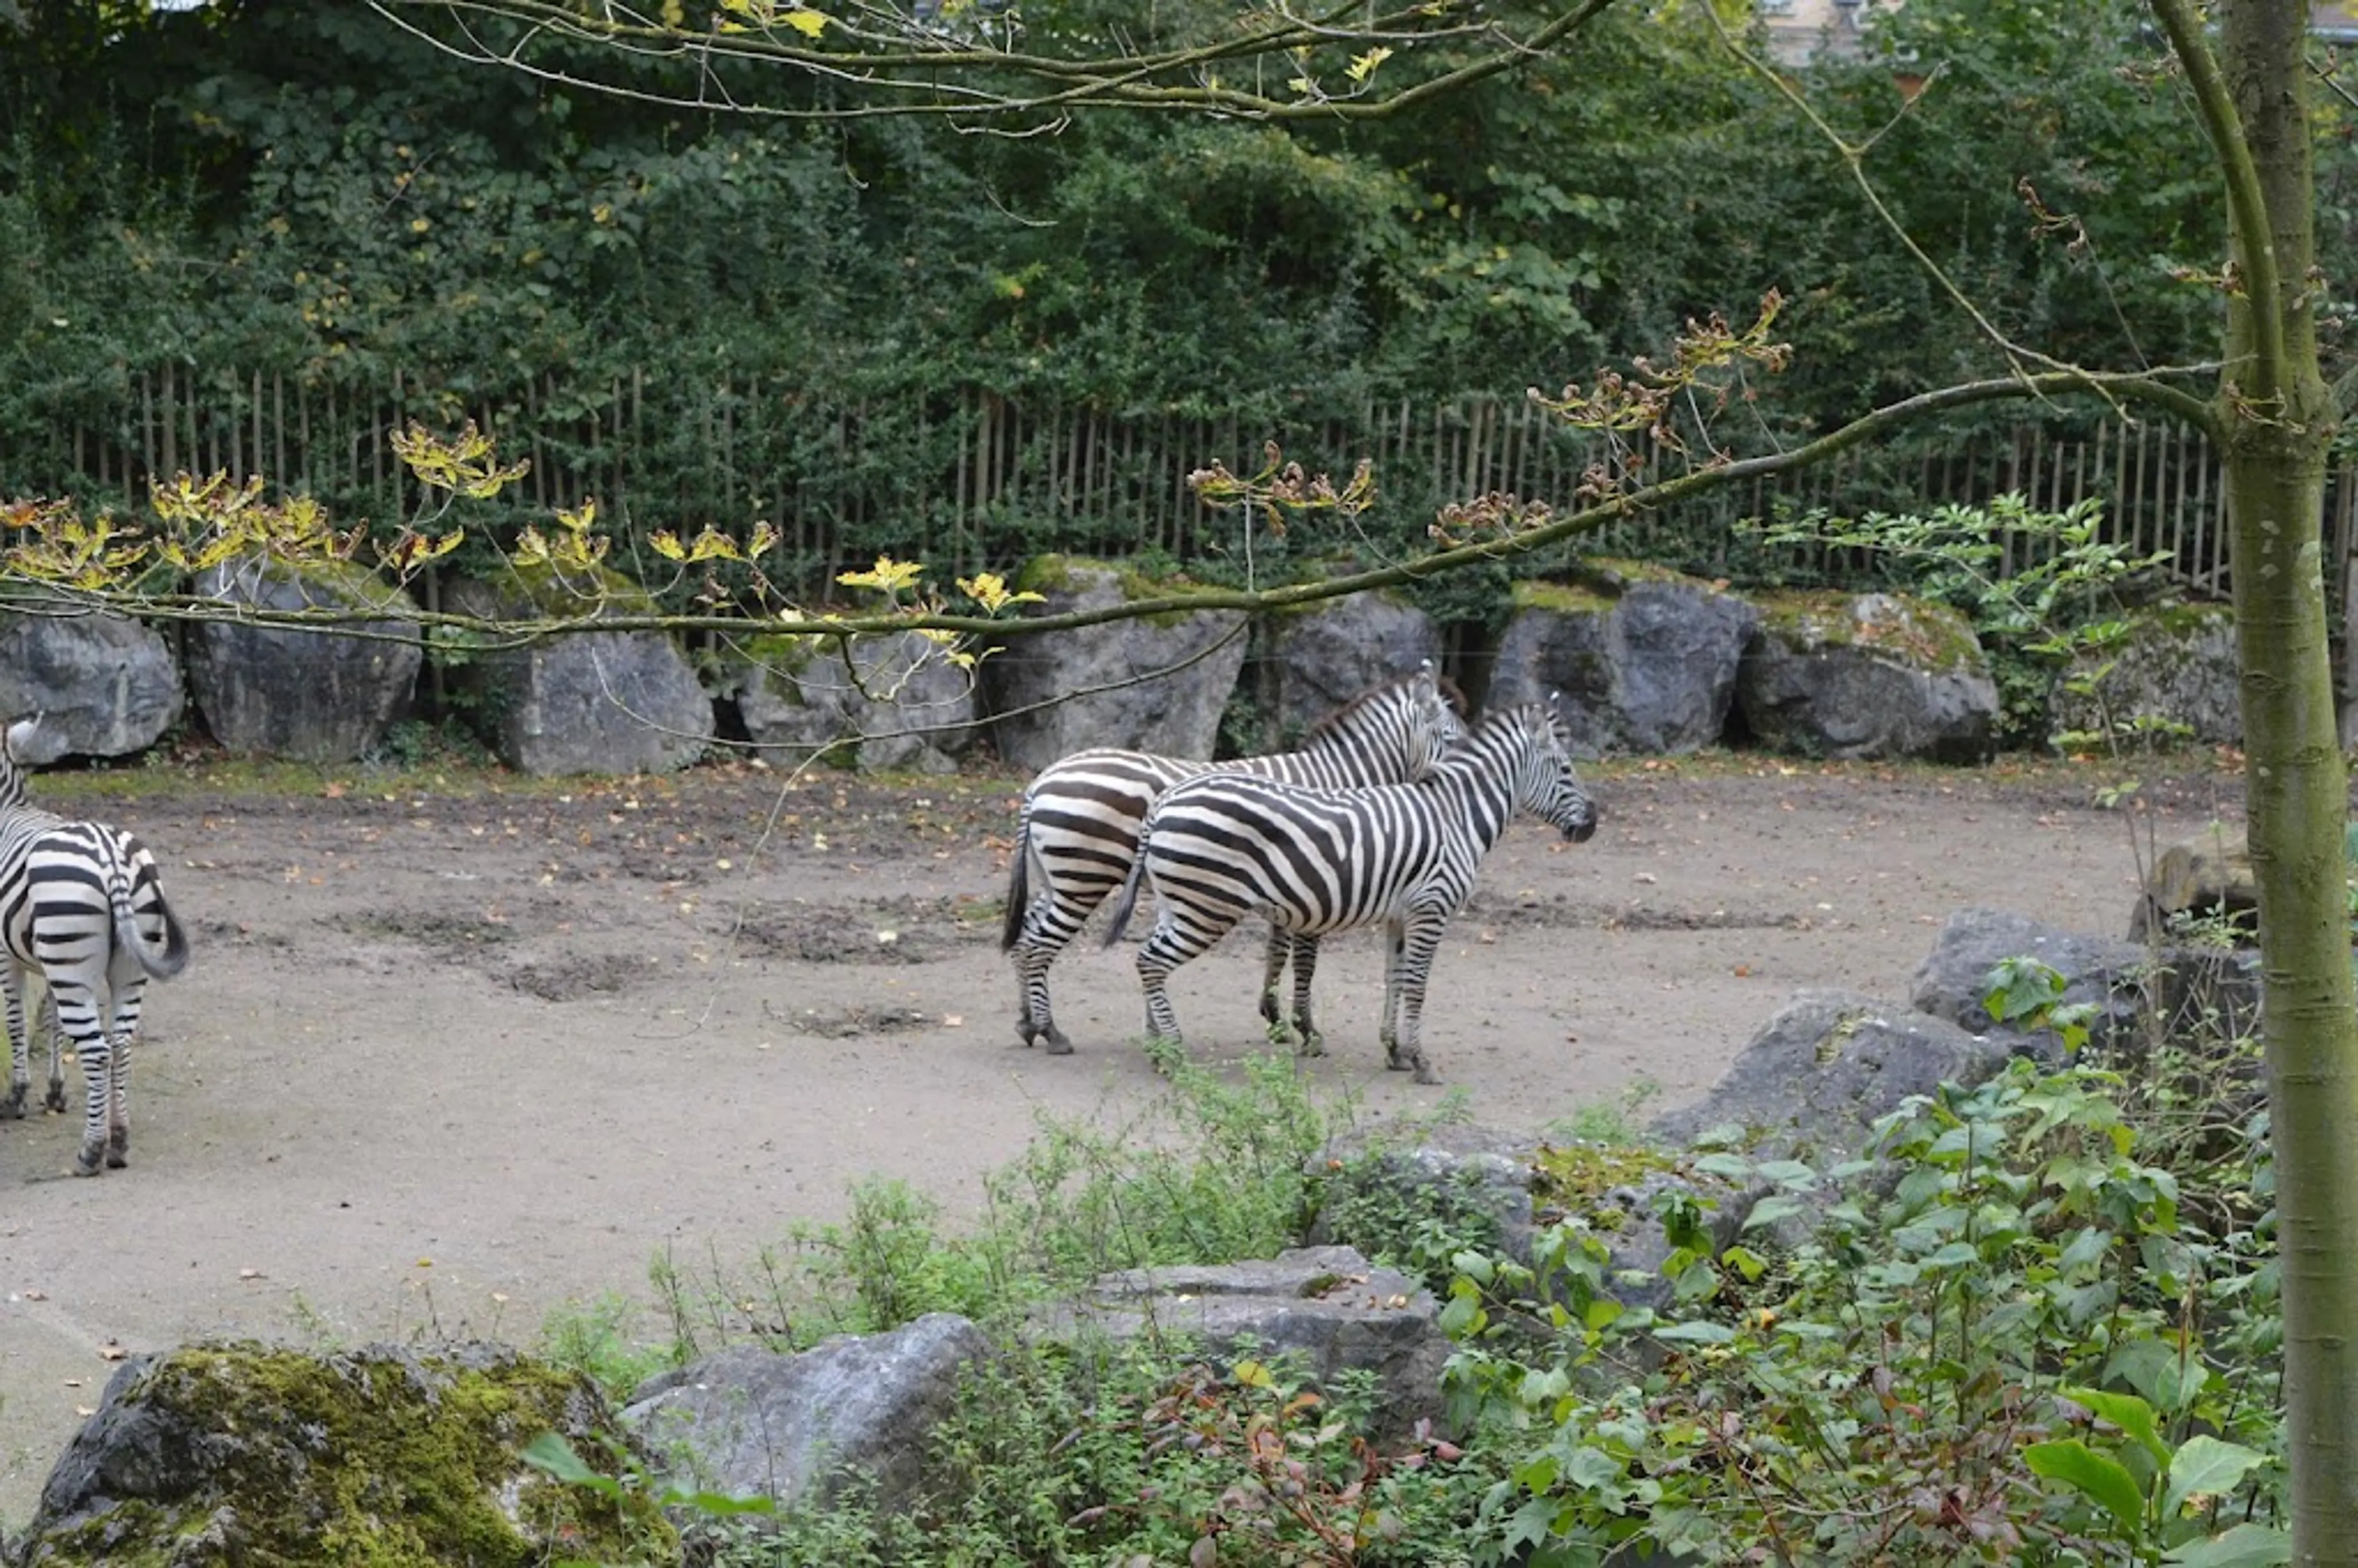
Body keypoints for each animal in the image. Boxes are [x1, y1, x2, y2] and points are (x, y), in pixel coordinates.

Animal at [1, 716, 191, 1169]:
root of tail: (110, 856)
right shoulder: (47, 963)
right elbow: (51, 1020)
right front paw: (54, 1091)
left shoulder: (6, 956)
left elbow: (16, 1022)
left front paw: (17, 1096)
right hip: (125, 965)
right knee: (119, 1044)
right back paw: (119, 1141)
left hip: (73, 963)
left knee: (98, 1050)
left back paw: (92, 1150)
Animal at [1000, 655, 1461, 1051]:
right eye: (1454, 737)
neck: (1342, 779)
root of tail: (1041, 781)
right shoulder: (1319, 880)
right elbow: (1305, 961)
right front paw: (1306, 1029)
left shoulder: (1289, 888)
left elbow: (1277, 952)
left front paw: (1275, 1018)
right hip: (1084, 878)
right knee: (1040, 945)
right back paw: (1051, 1031)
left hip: (1056, 877)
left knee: (1025, 939)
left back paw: (1028, 1022)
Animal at [1103, 697, 1603, 1084]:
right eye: (1566, 769)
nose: (1594, 824)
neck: (1456, 815)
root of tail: (1165, 801)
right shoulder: (1432, 908)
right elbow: (1418, 986)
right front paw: (1422, 1061)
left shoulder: (1402, 914)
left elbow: (1395, 979)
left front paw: (1395, 1051)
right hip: (1208, 907)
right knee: (1151, 962)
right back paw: (1173, 1053)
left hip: (1178, 902)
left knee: (1150, 962)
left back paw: (1156, 1048)